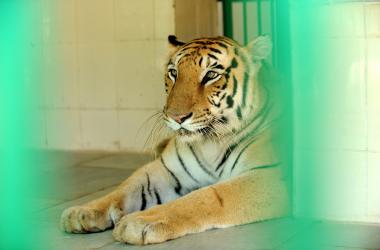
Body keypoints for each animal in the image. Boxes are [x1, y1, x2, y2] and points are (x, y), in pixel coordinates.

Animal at [60, 34, 290, 244]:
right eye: (173, 73)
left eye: (211, 75)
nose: (176, 117)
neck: (210, 142)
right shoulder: (167, 170)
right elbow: (125, 188)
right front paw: (82, 212)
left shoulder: (269, 174)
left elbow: (206, 197)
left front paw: (140, 222)